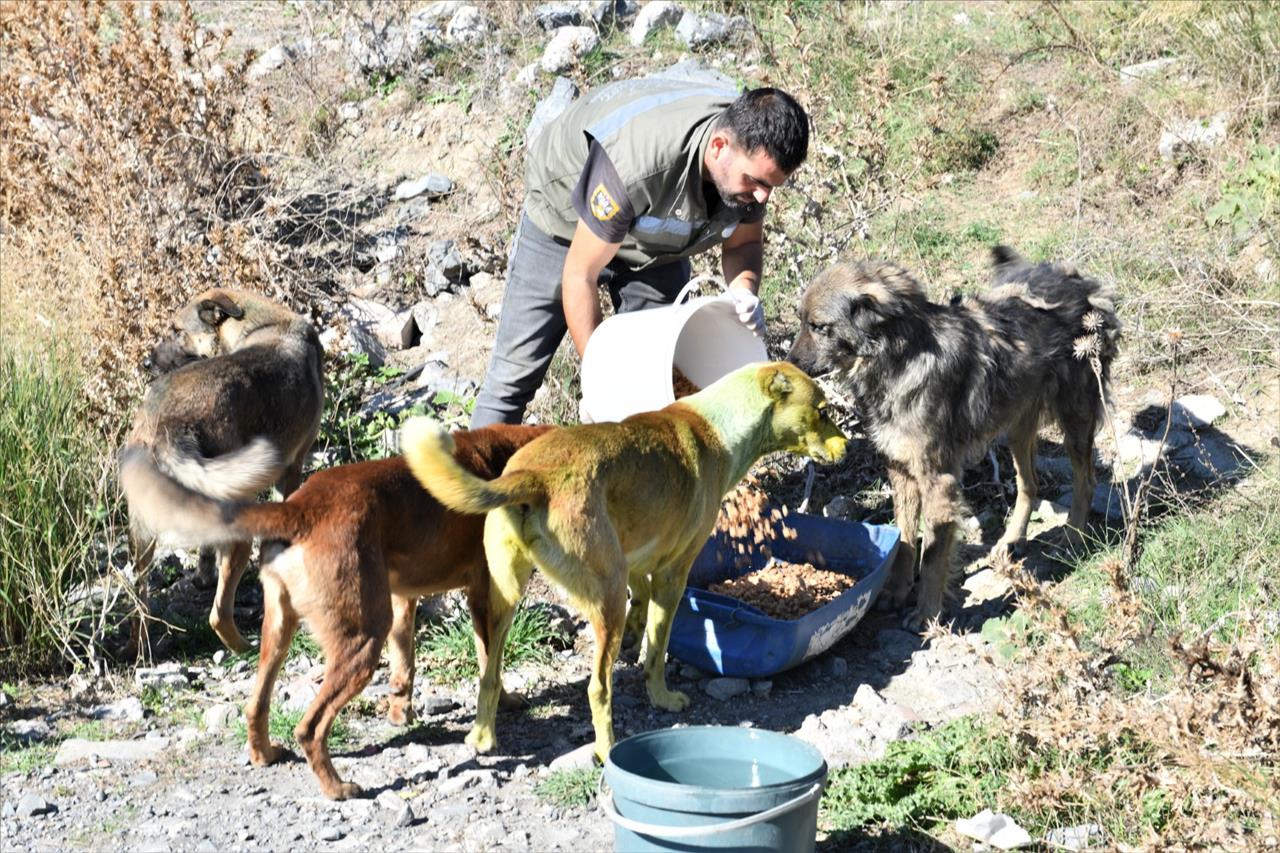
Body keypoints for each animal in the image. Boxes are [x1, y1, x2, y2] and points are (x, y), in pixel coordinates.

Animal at [119, 286, 325, 650]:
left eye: (176, 331)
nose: (145, 363)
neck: (265, 323)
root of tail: (165, 428)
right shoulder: (292, 468)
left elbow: (205, 550)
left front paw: (202, 576)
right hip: (238, 527)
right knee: (217, 614)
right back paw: (244, 646)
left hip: (142, 536)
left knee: (140, 603)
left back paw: (137, 647)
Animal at [120, 425, 555, 799]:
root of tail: (300, 508)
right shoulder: (483, 593)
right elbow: (489, 661)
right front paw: (504, 700)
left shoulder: (402, 599)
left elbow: (406, 663)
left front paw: (400, 710)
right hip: (363, 640)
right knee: (310, 728)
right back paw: (337, 788)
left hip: (280, 632)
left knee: (256, 702)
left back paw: (264, 755)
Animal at [404, 361, 855, 758]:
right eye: (822, 410)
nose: (848, 446)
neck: (720, 426)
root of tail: (534, 477)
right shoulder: (672, 577)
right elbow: (657, 651)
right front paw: (661, 697)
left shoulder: (636, 566)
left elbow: (641, 616)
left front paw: (634, 643)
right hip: (606, 597)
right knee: (598, 688)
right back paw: (607, 751)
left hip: (505, 600)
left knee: (490, 675)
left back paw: (483, 737)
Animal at [788, 242, 1121, 627]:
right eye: (802, 322)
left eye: (819, 326)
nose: (789, 362)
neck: (898, 358)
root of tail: (1079, 282)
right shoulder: (902, 472)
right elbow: (905, 540)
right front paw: (895, 594)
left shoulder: (938, 480)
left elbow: (932, 555)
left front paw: (927, 615)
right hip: (1016, 426)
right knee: (1030, 483)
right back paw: (1011, 541)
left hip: (1075, 415)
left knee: (1086, 480)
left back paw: (1073, 536)